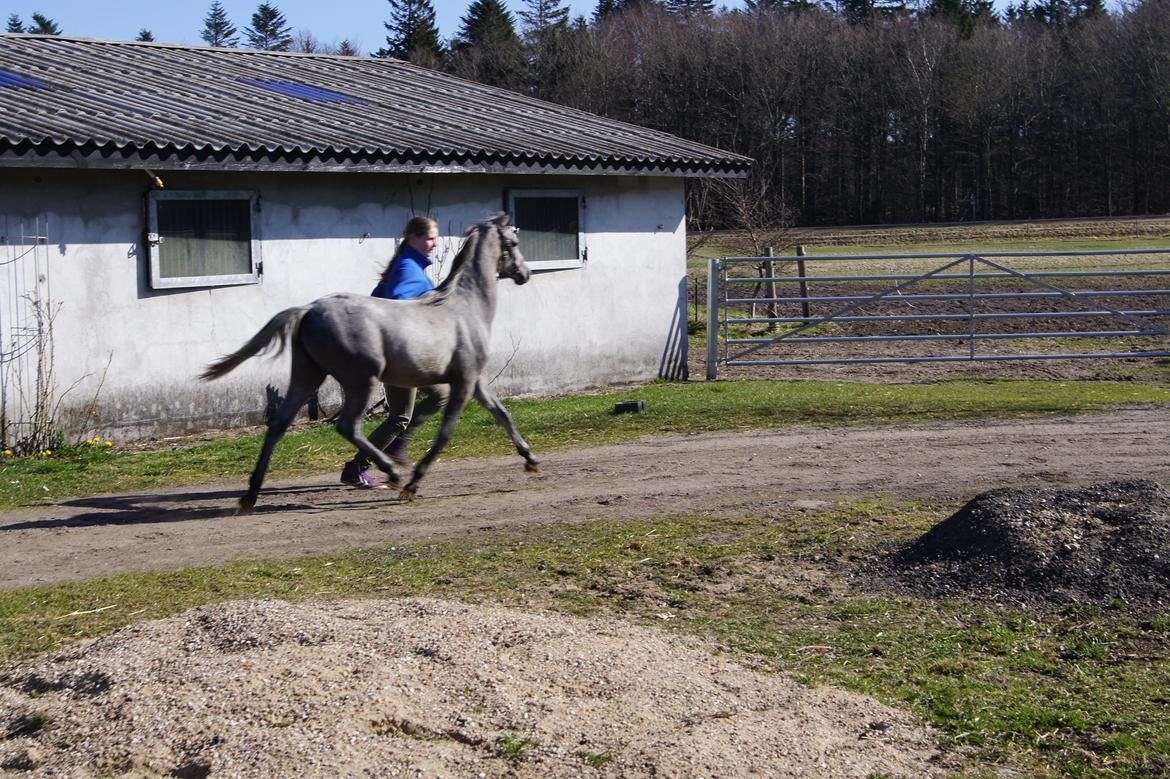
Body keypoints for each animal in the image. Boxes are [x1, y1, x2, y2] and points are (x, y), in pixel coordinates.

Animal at [201, 213, 540, 513]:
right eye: (513, 241)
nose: (525, 274)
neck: (465, 307)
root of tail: (309, 309)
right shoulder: (464, 381)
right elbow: (445, 432)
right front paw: (412, 484)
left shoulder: (476, 381)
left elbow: (503, 415)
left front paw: (531, 460)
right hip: (361, 381)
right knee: (349, 426)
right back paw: (391, 473)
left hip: (306, 376)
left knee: (278, 426)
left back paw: (250, 495)